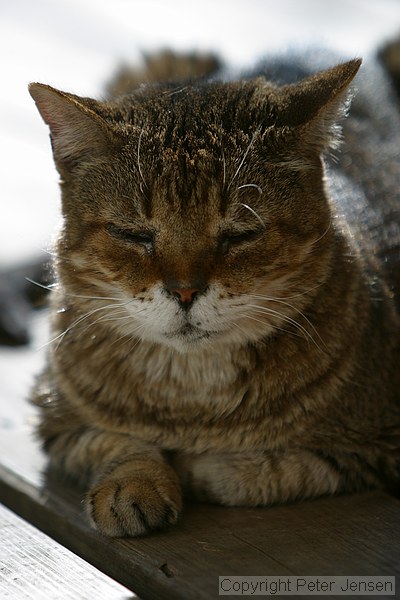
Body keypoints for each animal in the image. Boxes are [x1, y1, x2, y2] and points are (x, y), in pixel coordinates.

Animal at [28, 51, 400, 536]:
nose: (185, 291)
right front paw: (135, 483)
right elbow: (118, 443)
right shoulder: (54, 416)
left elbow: (259, 473)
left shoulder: (374, 446)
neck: (191, 400)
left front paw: (197, 466)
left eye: (240, 235)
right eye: (133, 234)